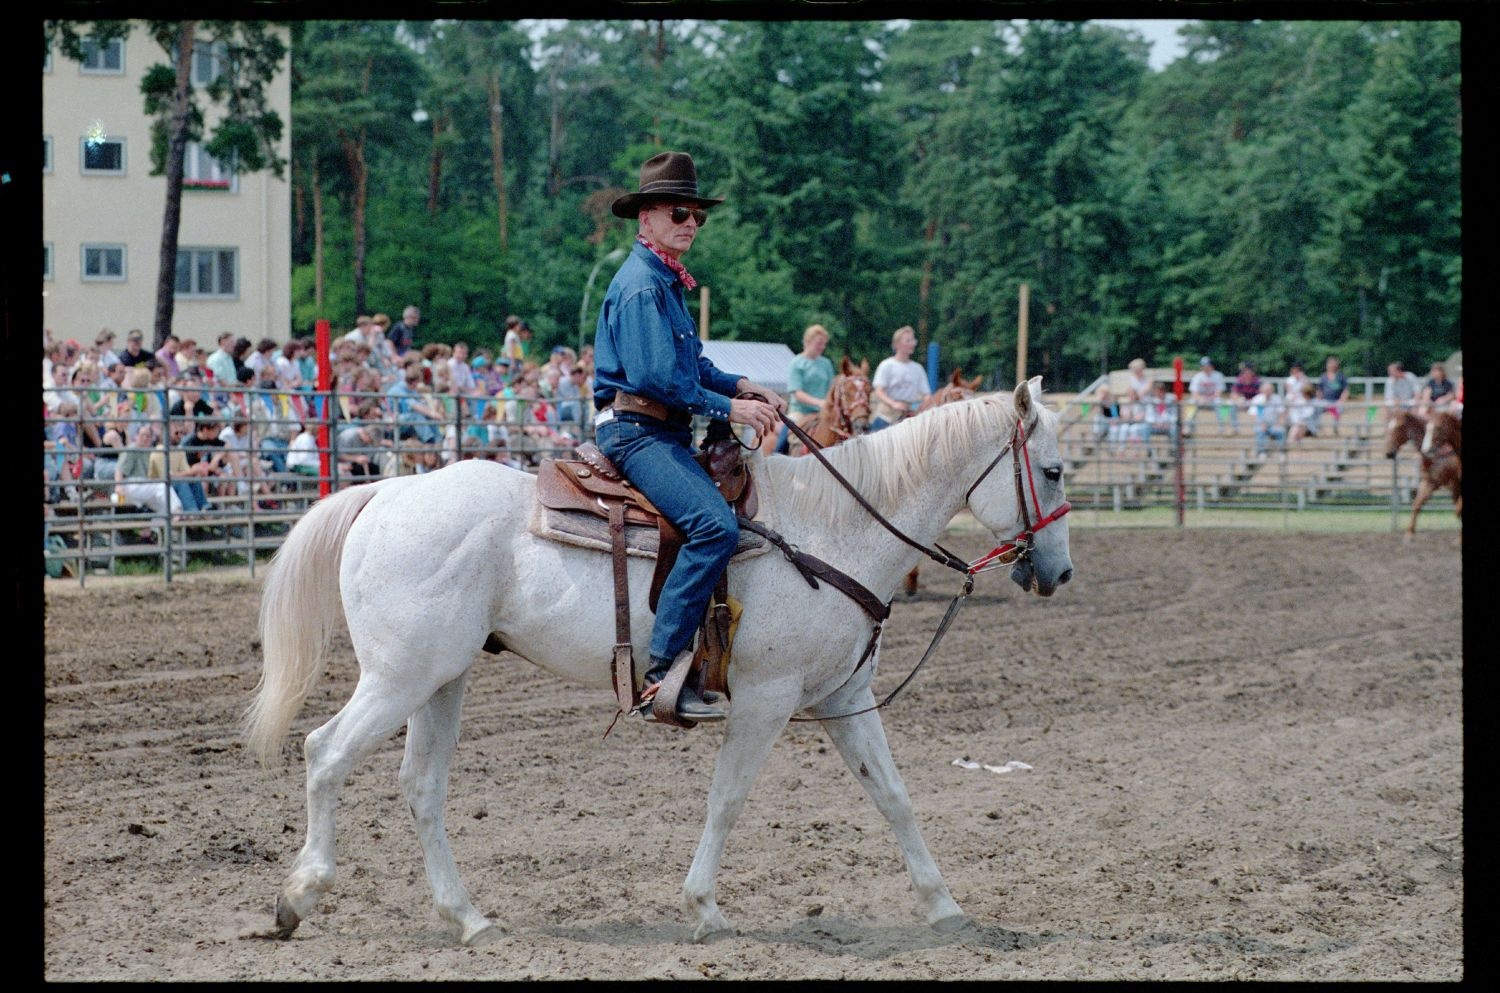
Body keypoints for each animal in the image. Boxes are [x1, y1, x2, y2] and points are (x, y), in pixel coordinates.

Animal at [246, 375, 1074, 948]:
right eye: (1056, 470)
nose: (1059, 573)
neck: (831, 529)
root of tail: (385, 492)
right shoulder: (767, 700)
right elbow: (727, 800)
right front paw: (705, 907)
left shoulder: (842, 697)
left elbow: (894, 797)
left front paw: (947, 907)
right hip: (399, 677)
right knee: (325, 752)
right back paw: (298, 896)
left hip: (441, 679)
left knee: (420, 786)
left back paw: (470, 918)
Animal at [1386, 408, 1458, 540]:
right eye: (1389, 426)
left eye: (1399, 426)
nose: (1388, 453)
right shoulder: (1430, 482)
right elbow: (1417, 504)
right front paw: (1409, 533)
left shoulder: (1454, 483)